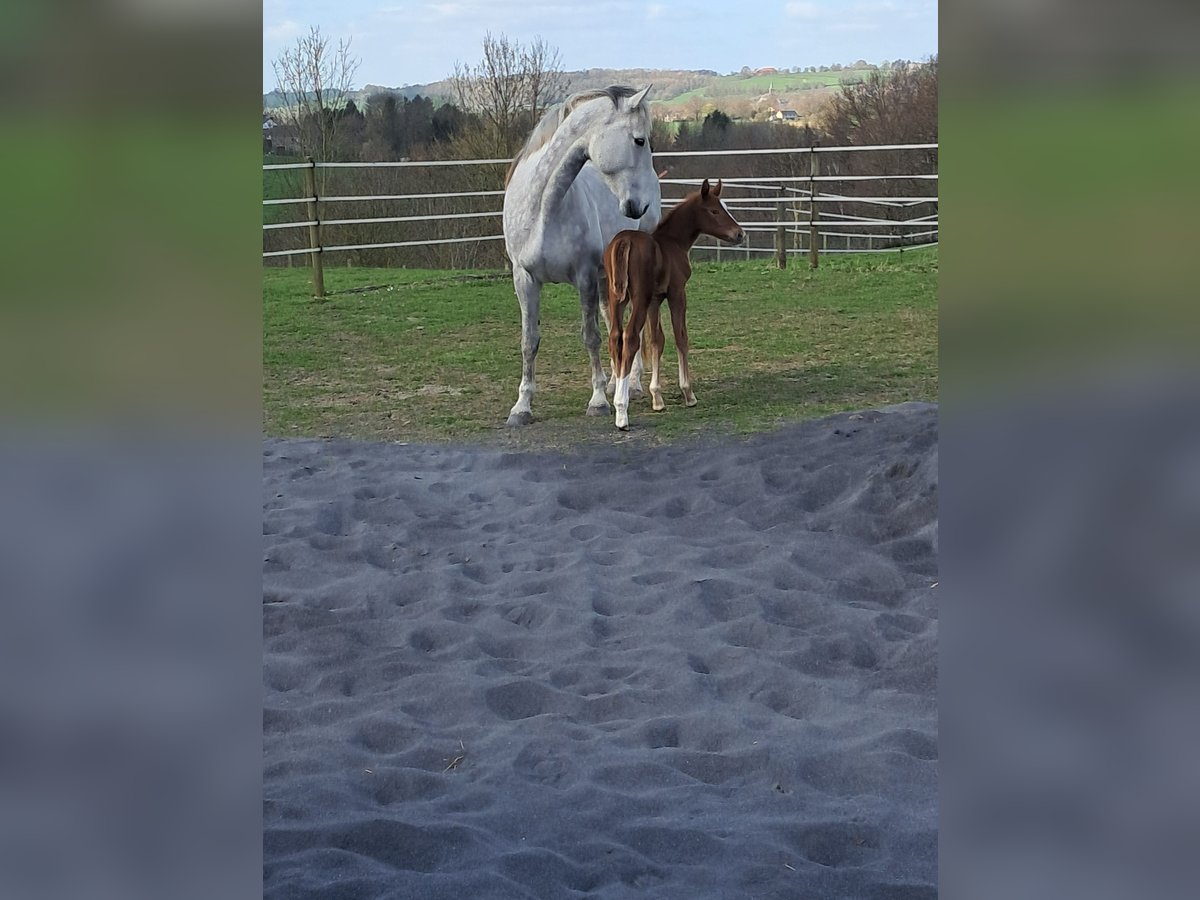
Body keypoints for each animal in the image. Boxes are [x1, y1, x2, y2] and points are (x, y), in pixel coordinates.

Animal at [502, 85, 662, 427]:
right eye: (639, 140)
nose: (638, 206)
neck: (544, 209)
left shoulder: (584, 276)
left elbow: (591, 336)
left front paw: (598, 400)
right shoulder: (524, 279)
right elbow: (529, 341)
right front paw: (522, 407)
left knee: (635, 323)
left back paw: (634, 383)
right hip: (608, 276)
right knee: (615, 321)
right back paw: (617, 382)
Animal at [603, 178, 744, 430]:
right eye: (714, 210)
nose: (739, 234)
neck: (672, 242)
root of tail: (624, 242)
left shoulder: (655, 300)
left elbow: (657, 341)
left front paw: (657, 398)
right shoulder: (677, 293)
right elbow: (681, 337)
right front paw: (688, 394)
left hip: (617, 299)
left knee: (615, 338)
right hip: (638, 299)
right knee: (630, 338)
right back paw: (621, 412)